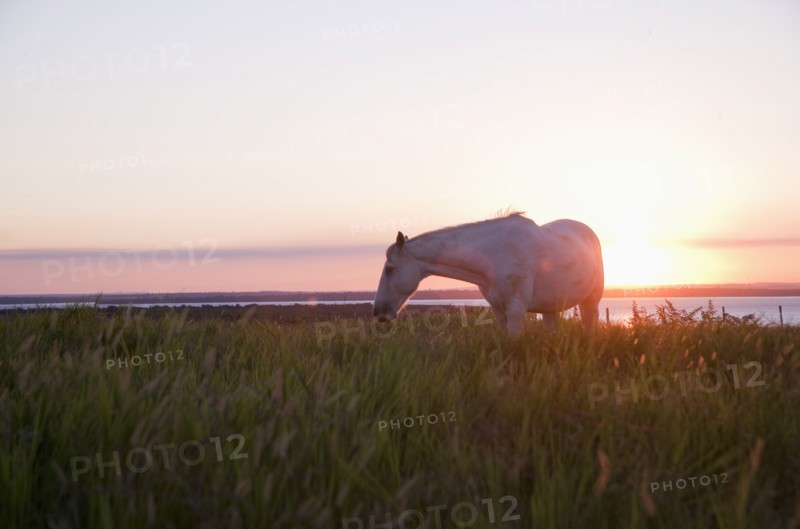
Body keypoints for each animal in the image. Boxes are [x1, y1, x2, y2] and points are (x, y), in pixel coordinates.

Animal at [372, 212, 604, 337]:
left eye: (389, 268)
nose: (378, 312)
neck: (493, 256)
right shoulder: (498, 309)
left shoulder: (516, 309)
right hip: (550, 307)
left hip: (591, 300)